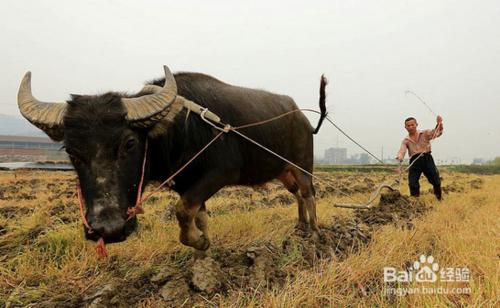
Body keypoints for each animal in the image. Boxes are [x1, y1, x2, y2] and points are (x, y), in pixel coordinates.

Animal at [17, 67, 328, 253]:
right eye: (71, 151)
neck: (179, 129)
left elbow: (182, 211)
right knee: (297, 196)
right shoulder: (186, 183)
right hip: (284, 172)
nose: (109, 229)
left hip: (303, 166)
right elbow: (197, 214)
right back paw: (300, 227)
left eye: (130, 143)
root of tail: (303, 119)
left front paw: (196, 242)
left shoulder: (220, 174)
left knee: (309, 194)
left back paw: (314, 232)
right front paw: (204, 243)